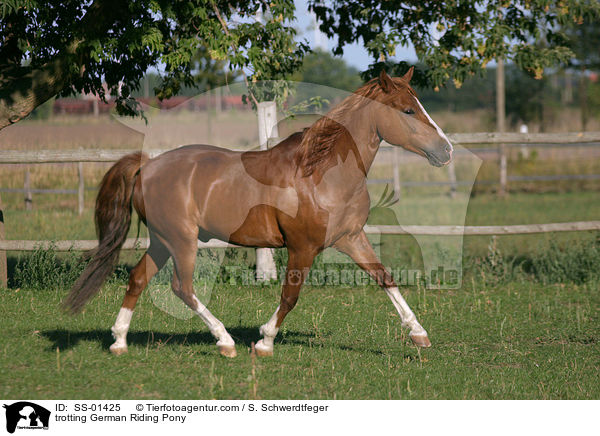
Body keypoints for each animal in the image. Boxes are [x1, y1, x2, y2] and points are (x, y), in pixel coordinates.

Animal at [64, 69, 450, 358]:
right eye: (408, 110)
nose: (445, 150)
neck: (322, 174)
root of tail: (147, 166)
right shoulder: (302, 247)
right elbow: (290, 296)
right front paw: (264, 341)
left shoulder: (351, 238)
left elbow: (385, 277)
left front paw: (419, 334)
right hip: (181, 240)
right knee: (182, 287)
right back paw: (225, 341)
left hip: (161, 241)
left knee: (138, 279)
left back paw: (119, 341)